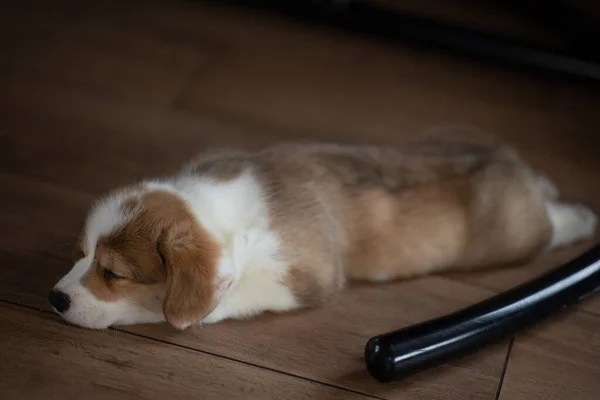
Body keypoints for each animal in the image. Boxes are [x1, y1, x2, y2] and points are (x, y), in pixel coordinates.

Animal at [47, 139, 596, 330]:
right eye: (80, 253)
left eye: (114, 274)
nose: (53, 299)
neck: (213, 210)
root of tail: (523, 170)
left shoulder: (301, 277)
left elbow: (223, 299)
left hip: (516, 234)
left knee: (550, 223)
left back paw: (582, 219)